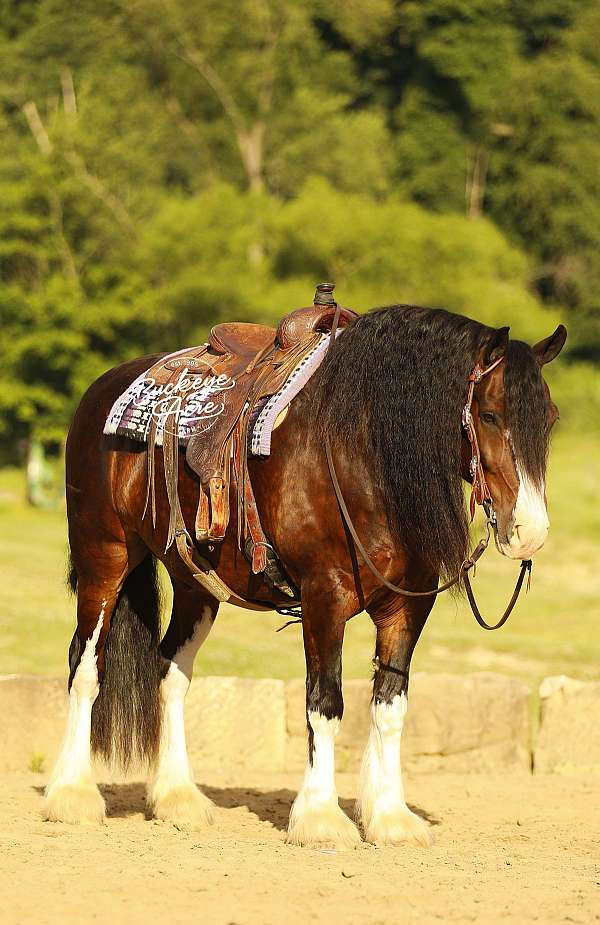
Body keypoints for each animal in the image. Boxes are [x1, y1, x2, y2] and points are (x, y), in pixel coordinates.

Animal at [43, 303, 566, 848]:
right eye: (489, 414)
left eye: (549, 418)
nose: (529, 531)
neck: (362, 456)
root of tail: (104, 387)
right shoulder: (323, 598)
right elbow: (325, 704)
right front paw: (320, 818)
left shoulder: (407, 606)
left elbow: (390, 707)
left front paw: (391, 818)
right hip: (105, 558)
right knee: (86, 665)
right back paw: (72, 794)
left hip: (195, 583)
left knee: (171, 671)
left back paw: (177, 798)